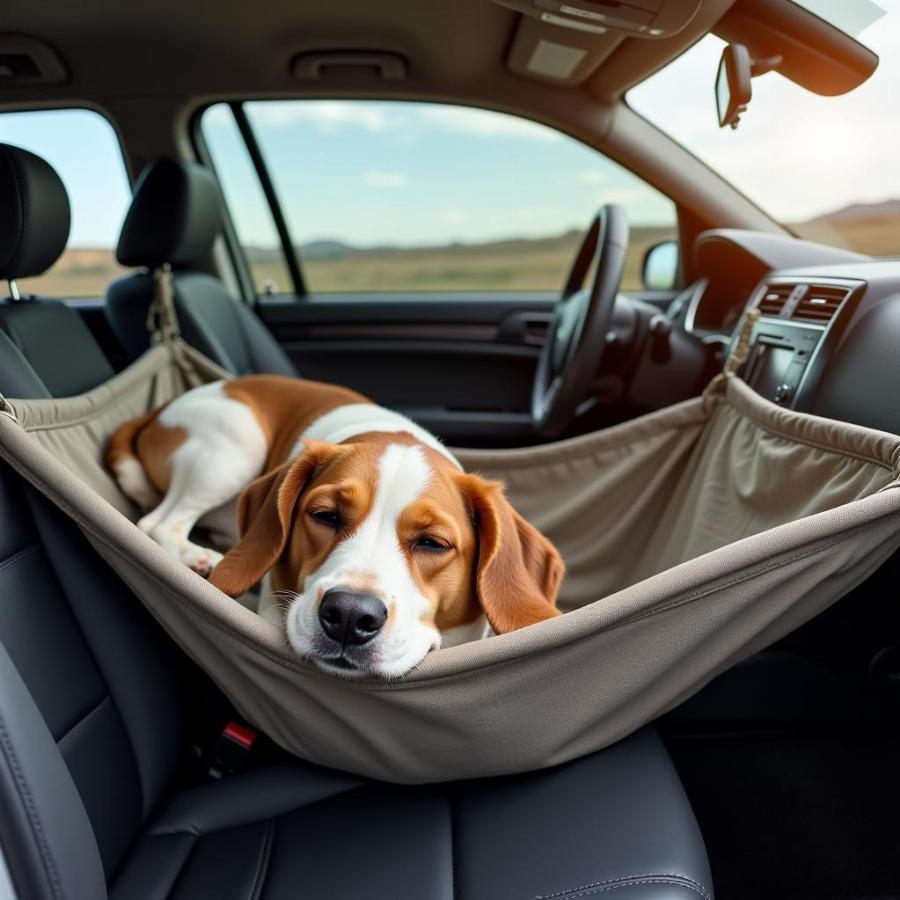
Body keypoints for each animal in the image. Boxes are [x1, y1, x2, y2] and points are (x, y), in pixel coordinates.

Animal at [107, 376, 564, 680]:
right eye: (325, 515)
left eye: (433, 543)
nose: (348, 614)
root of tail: (160, 409)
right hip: (236, 445)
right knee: (158, 520)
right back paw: (197, 556)